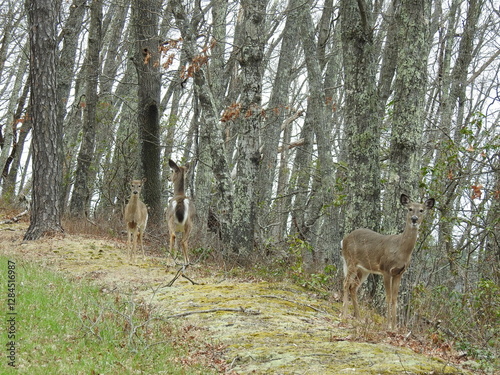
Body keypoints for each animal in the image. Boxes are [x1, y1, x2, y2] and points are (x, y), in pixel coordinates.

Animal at [340, 194, 434, 328]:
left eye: (421, 210)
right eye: (410, 209)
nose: (414, 219)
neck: (400, 250)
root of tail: (344, 239)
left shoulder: (399, 273)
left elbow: (395, 299)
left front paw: (394, 327)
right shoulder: (385, 269)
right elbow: (388, 297)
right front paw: (388, 325)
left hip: (364, 269)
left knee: (353, 287)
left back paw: (358, 317)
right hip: (350, 261)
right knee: (346, 283)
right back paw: (344, 315)